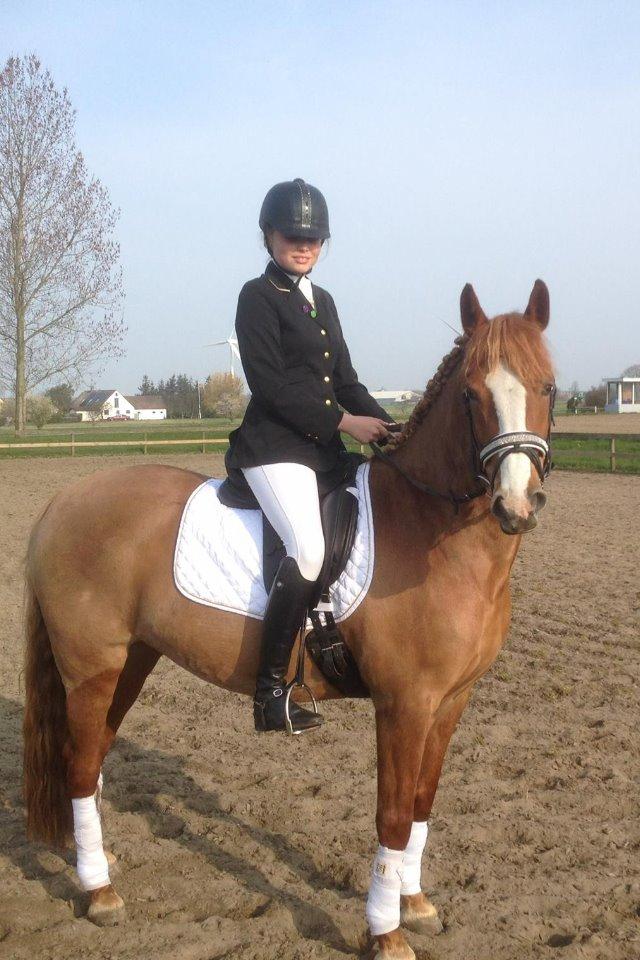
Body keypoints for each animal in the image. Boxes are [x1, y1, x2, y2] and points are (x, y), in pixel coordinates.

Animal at [23, 280, 555, 959]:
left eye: (547, 387)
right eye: (471, 394)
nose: (516, 505)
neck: (431, 532)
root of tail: (63, 501)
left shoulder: (450, 701)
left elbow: (421, 803)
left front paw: (414, 904)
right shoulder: (405, 703)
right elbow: (392, 814)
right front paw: (385, 931)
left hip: (128, 663)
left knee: (88, 758)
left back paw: (99, 866)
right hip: (92, 667)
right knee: (79, 763)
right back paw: (99, 892)